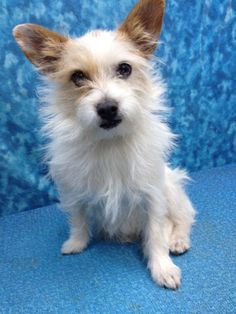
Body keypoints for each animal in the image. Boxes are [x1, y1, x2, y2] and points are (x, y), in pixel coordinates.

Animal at [12, 0, 195, 290]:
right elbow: (77, 220)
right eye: (77, 77)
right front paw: (76, 243)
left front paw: (162, 266)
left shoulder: (153, 195)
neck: (109, 142)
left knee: (183, 218)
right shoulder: (73, 191)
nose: (108, 107)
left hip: (172, 188)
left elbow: (156, 233)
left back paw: (177, 240)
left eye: (124, 69)